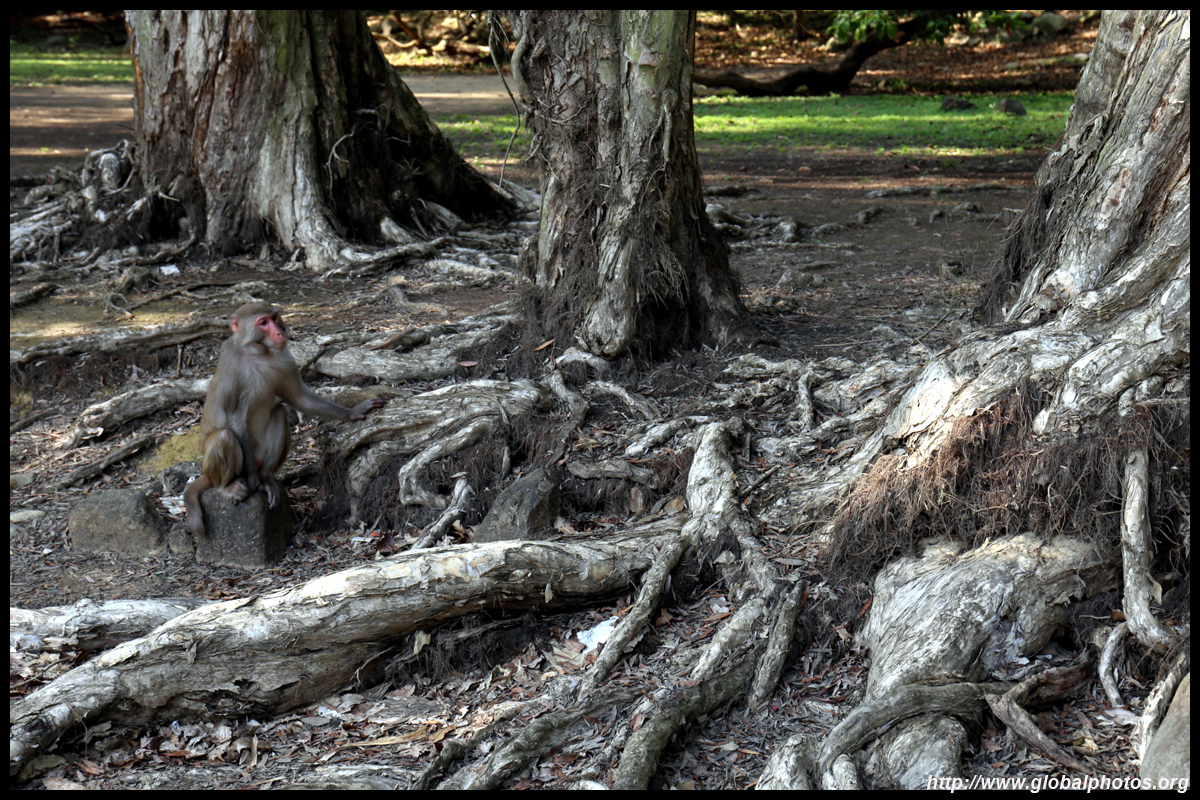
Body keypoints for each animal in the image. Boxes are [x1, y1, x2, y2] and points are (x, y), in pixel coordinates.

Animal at [184, 302, 385, 538]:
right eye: (263, 322)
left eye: (274, 318)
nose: (280, 332)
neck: (259, 352)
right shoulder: (233, 364)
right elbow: (235, 419)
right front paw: (251, 481)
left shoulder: (285, 359)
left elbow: (299, 399)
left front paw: (352, 412)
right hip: (221, 466)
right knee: (224, 436)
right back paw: (228, 486)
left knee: (279, 412)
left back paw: (267, 477)